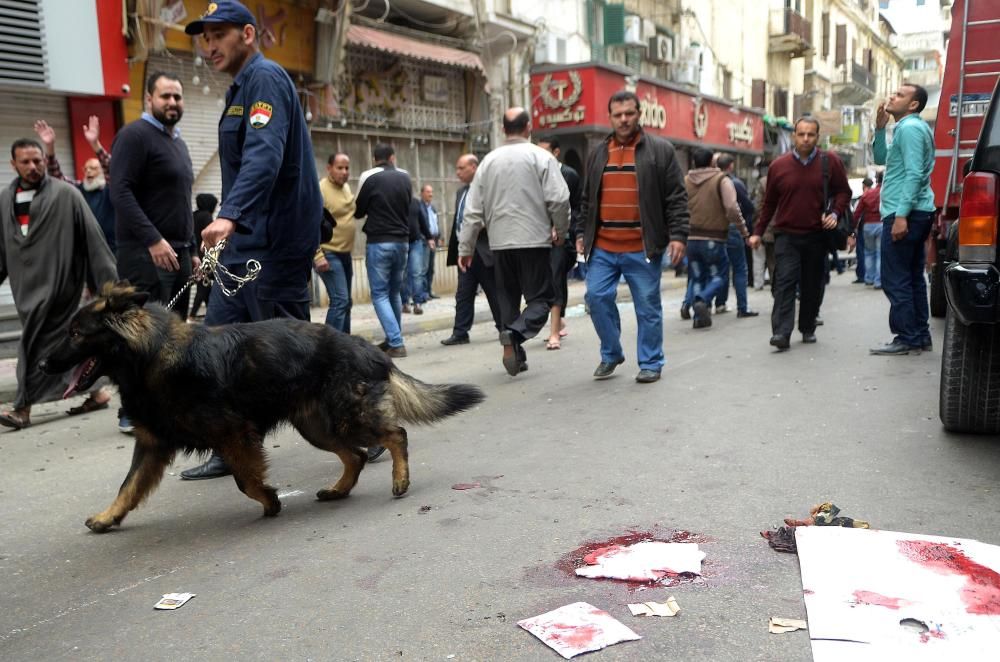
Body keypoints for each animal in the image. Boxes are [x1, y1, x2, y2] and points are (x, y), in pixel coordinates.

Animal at [41, 282, 486, 536]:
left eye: (76, 333)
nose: (43, 365)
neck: (149, 357)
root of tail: (367, 347)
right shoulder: (151, 445)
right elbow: (128, 487)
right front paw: (107, 517)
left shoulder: (234, 434)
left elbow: (244, 480)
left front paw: (270, 500)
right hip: (318, 427)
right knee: (356, 457)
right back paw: (339, 489)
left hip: (346, 416)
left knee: (395, 434)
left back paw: (399, 479)